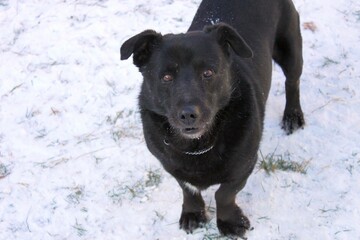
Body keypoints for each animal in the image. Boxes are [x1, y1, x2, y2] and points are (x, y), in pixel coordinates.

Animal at [120, 0, 304, 236]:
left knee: (292, 82)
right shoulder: (171, 165)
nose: (188, 114)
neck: (197, 145)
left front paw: (229, 222)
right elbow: (188, 189)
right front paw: (193, 213)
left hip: (290, 49)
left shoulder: (244, 166)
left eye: (208, 73)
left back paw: (293, 115)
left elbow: (224, 194)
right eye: (166, 77)